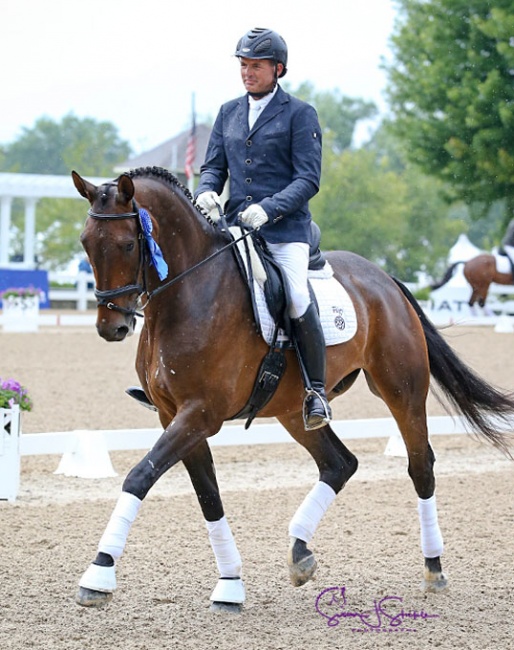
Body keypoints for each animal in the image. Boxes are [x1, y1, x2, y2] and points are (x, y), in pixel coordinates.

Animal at [70, 166, 510, 608]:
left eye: (128, 244)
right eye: (86, 243)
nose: (112, 327)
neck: (191, 293)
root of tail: (385, 278)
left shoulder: (201, 413)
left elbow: (139, 476)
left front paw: (99, 574)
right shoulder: (172, 415)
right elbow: (208, 495)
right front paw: (230, 583)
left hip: (402, 391)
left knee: (420, 466)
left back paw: (433, 567)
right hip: (292, 409)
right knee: (339, 464)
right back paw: (300, 554)